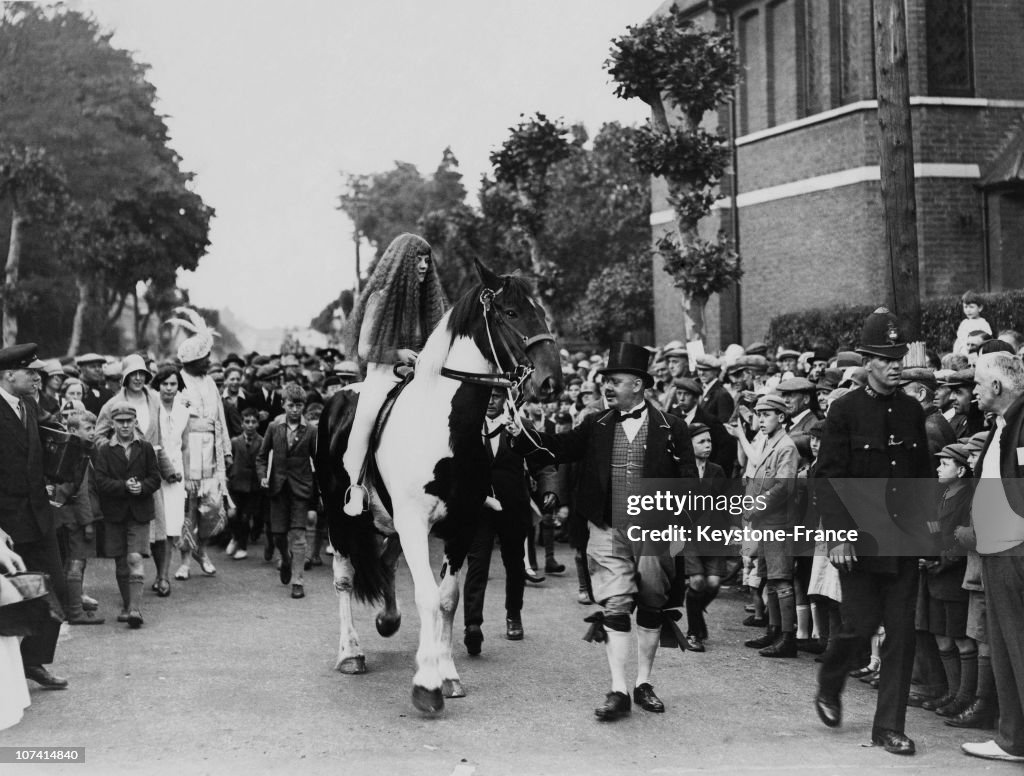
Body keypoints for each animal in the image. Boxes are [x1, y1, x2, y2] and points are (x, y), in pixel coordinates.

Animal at [315, 261, 565, 716]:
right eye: (511, 312)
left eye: (540, 309)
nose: (552, 380)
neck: (442, 428)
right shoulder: (416, 524)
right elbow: (428, 597)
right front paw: (426, 685)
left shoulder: (461, 525)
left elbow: (448, 598)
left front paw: (447, 675)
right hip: (338, 519)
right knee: (344, 578)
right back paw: (351, 652)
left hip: (392, 523)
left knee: (387, 563)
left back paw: (388, 620)